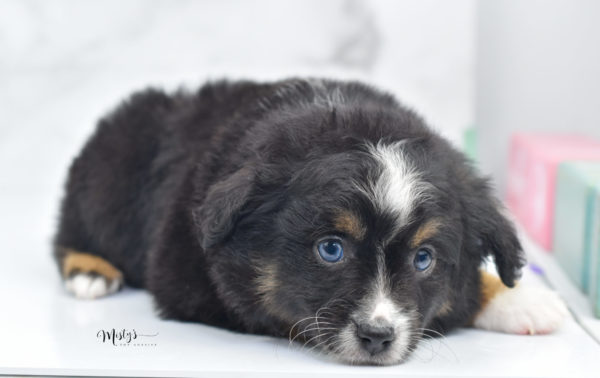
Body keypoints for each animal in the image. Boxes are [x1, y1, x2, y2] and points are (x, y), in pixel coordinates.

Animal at [55, 78, 568, 364]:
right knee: (70, 229)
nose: (377, 338)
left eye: (424, 259)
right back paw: (90, 271)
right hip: (105, 176)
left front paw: (523, 298)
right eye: (331, 249)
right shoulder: (189, 281)